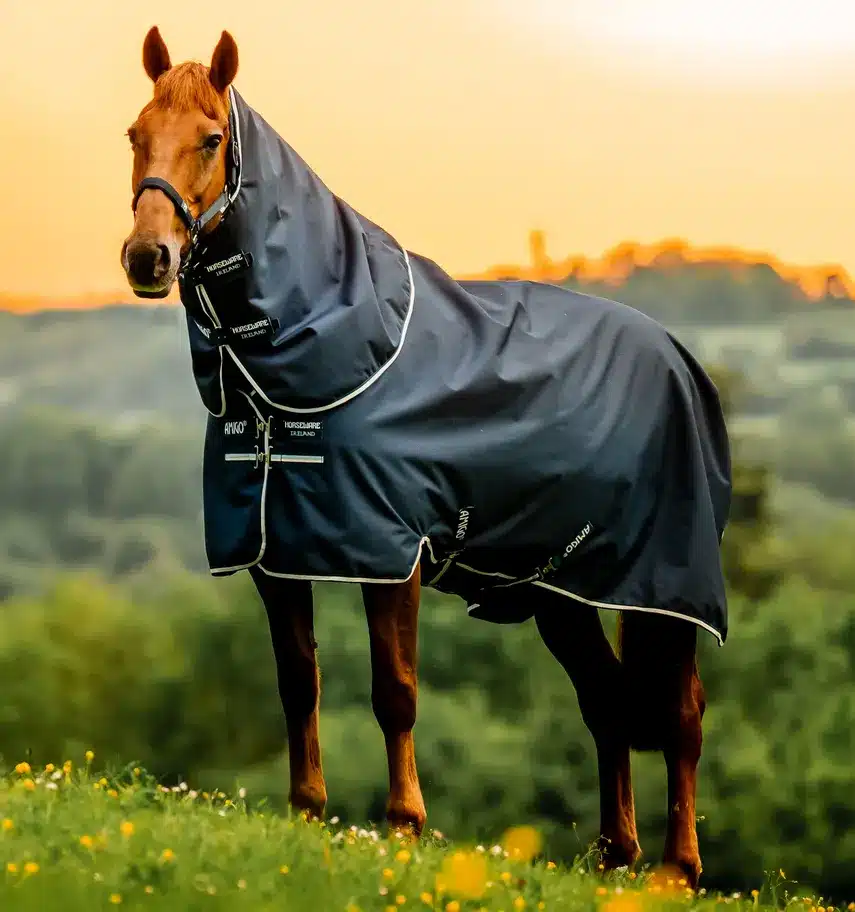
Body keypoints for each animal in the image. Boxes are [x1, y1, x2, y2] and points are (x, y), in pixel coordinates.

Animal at [120, 27, 732, 888]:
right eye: (134, 135)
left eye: (210, 139)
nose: (148, 258)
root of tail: (678, 358)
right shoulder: (275, 554)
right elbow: (297, 682)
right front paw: (305, 812)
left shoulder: (389, 552)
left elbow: (395, 691)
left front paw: (404, 824)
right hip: (562, 591)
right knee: (607, 700)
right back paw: (615, 855)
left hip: (664, 585)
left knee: (679, 713)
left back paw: (676, 868)